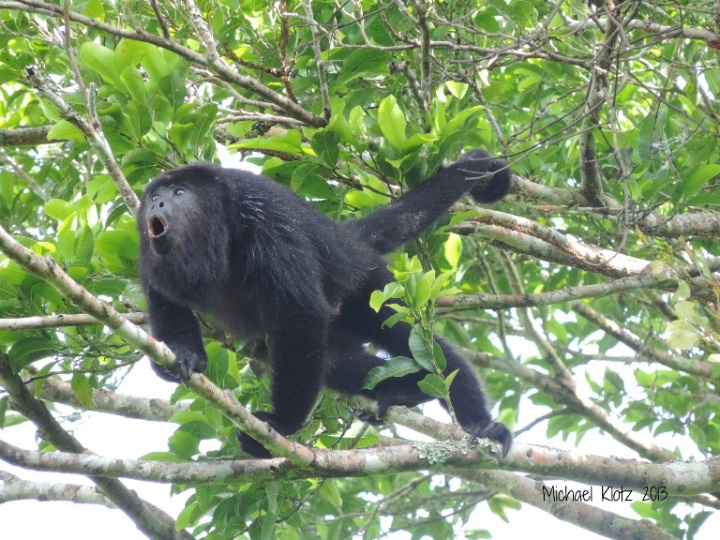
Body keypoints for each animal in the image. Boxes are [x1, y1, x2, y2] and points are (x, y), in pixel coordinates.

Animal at [139, 150, 512, 458]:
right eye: (155, 196)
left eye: (179, 193)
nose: (157, 206)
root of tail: (347, 240)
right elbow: (165, 301)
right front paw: (185, 356)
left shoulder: (264, 223)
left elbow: (301, 314)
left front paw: (281, 423)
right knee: (336, 363)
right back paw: (404, 390)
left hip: (369, 284)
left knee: (417, 343)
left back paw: (479, 422)